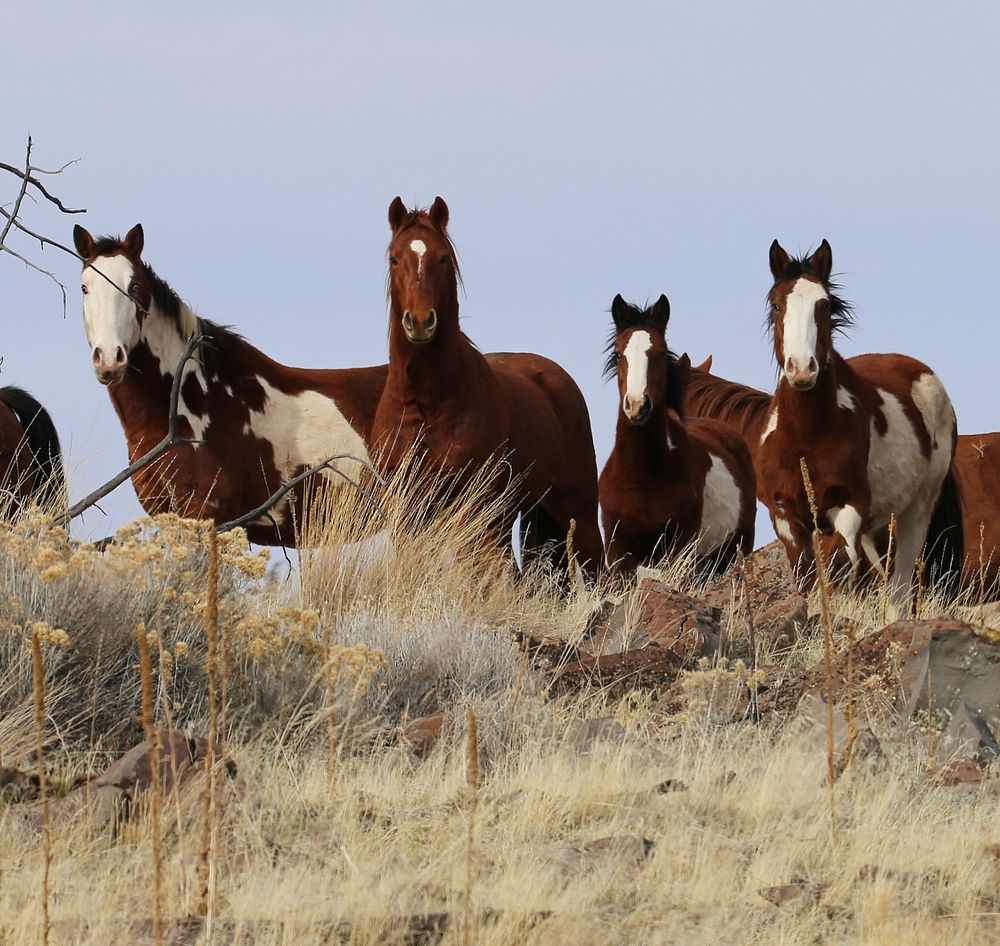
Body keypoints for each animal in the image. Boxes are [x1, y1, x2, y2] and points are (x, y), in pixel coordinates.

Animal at [372, 197, 600, 576]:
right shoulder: (407, 511)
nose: (419, 322)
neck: (426, 405)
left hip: (575, 513)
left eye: (443, 258)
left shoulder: (474, 509)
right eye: (394, 258)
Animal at [596, 296, 752, 576]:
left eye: (659, 353)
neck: (641, 480)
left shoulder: (678, 548)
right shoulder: (617, 552)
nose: (637, 406)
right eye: (618, 353)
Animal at [688, 238, 960, 604]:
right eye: (777, 304)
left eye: (825, 304)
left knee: (899, 588)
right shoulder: (787, 519)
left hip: (915, 509)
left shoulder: (849, 510)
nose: (802, 369)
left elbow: (841, 571)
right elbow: (806, 579)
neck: (805, 438)